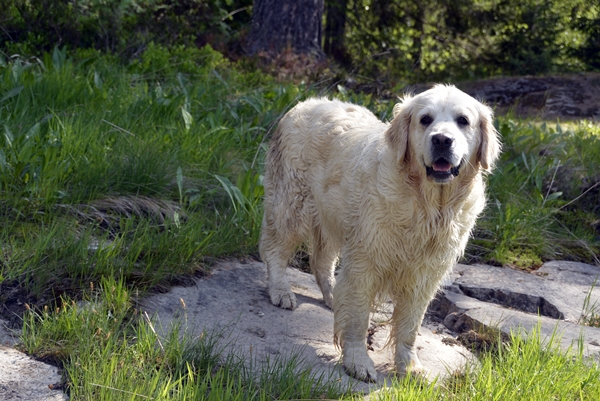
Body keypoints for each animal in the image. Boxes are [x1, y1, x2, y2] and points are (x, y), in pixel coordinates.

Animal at [260, 83, 500, 378]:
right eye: (425, 119)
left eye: (463, 120)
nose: (442, 140)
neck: (427, 205)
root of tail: (307, 102)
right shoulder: (366, 259)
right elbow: (358, 317)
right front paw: (357, 361)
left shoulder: (424, 275)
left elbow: (410, 327)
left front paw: (409, 365)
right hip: (291, 205)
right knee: (274, 250)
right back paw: (281, 290)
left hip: (332, 217)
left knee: (321, 261)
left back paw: (332, 295)